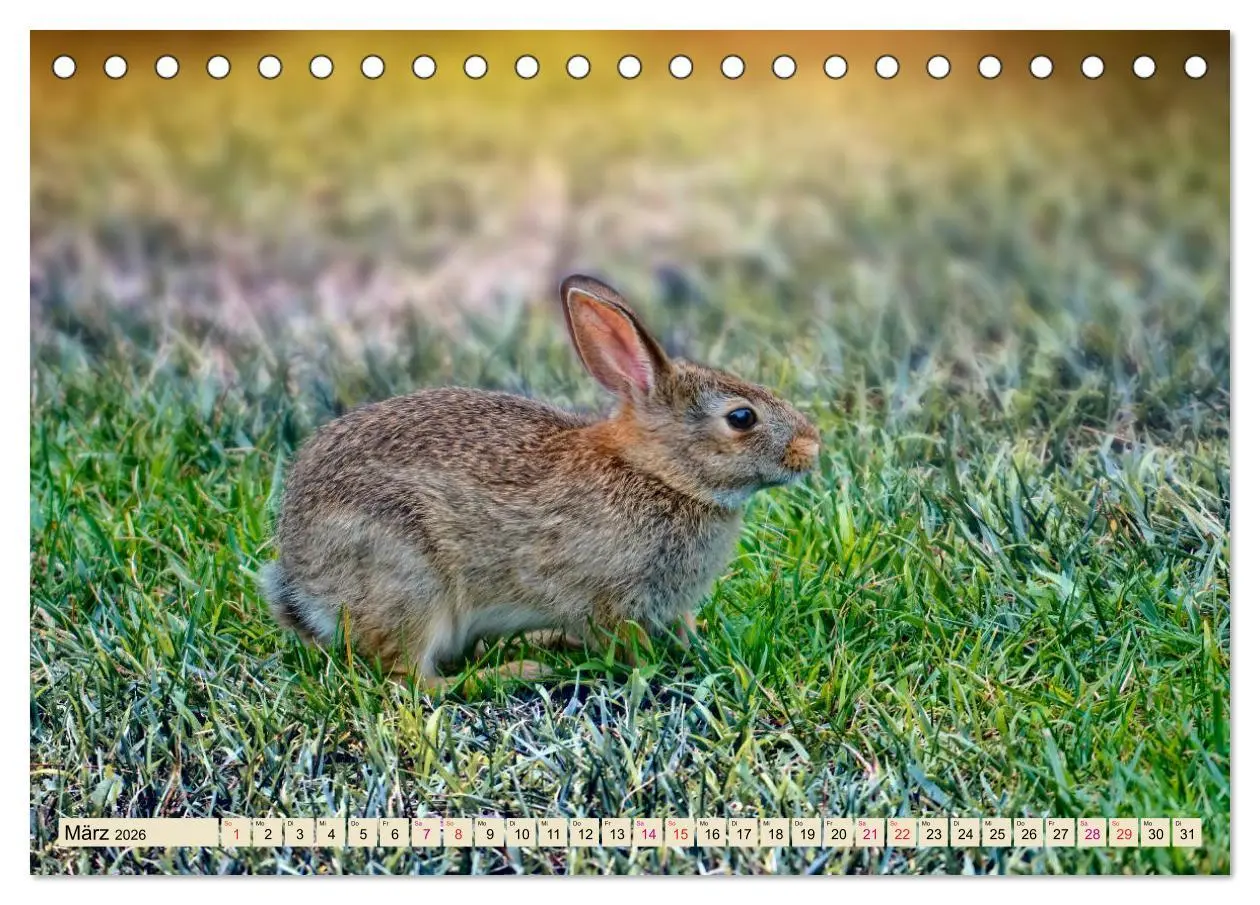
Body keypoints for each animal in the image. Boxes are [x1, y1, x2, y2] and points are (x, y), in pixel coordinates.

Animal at [260, 274, 820, 689]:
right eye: (742, 418)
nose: (812, 445)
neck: (658, 474)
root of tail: (302, 582)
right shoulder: (609, 600)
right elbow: (629, 645)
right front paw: (655, 666)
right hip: (407, 581)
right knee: (411, 678)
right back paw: (515, 671)